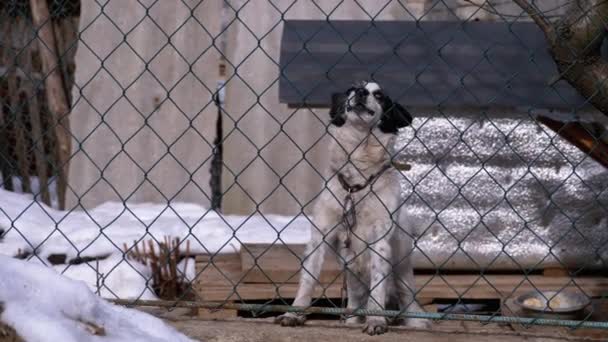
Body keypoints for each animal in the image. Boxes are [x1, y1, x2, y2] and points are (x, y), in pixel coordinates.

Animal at [276, 81, 428, 334]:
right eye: (351, 89)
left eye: (379, 95)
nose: (361, 92)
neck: (356, 184)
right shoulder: (319, 237)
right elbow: (307, 282)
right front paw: (293, 314)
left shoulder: (380, 242)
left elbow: (378, 289)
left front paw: (376, 320)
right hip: (353, 276)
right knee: (356, 303)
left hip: (403, 269)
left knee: (407, 299)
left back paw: (416, 321)